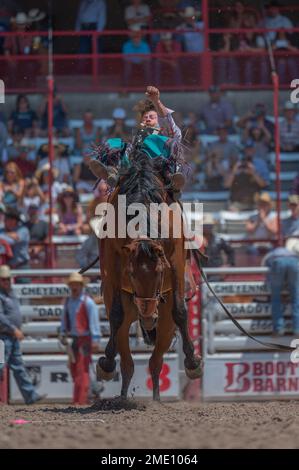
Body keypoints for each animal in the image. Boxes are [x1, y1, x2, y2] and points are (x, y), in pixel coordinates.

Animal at [97, 154, 203, 400]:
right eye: (130, 274)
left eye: (161, 272)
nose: (147, 314)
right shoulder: (113, 263)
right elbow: (115, 315)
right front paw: (106, 364)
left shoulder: (175, 261)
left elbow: (180, 312)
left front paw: (193, 363)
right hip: (130, 318)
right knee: (127, 363)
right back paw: (122, 397)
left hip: (164, 325)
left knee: (156, 363)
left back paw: (156, 398)